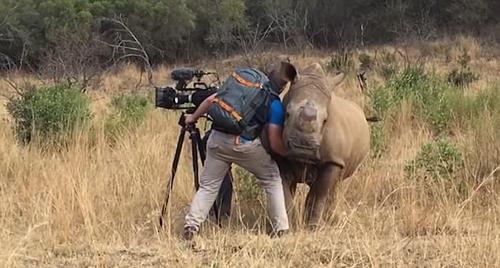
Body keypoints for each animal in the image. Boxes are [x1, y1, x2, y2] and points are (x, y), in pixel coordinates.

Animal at [270, 61, 372, 227]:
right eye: (287, 114)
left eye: (325, 120)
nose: (303, 149)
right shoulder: (279, 156)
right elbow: (285, 191)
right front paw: (289, 224)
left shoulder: (333, 160)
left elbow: (319, 194)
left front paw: (313, 227)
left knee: (333, 185)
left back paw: (330, 220)